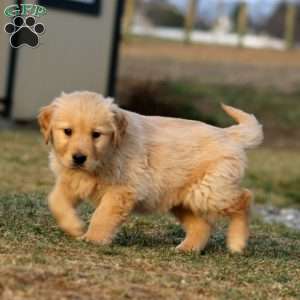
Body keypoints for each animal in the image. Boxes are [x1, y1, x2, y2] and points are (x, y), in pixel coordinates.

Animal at [38, 91, 262, 253]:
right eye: (67, 131)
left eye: (96, 134)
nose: (79, 158)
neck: (107, 155)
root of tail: (227, 134)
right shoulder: (72, 180)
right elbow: (55, 201)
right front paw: (74, 226)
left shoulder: (121, 191)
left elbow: (102, 215)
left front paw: (93, 238)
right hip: (182, 198)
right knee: (203, 225)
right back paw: (187, 248)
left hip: (210, 189)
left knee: (245, 198)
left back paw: (237, 243)